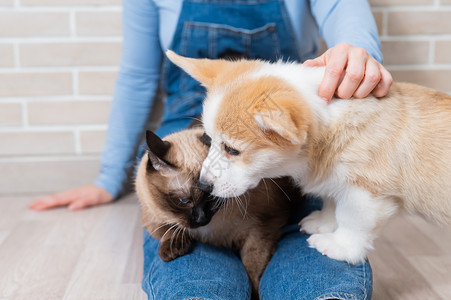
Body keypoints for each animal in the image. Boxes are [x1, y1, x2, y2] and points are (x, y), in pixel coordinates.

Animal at [136, 127, 302, 298]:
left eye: (213, 197)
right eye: (184, 201)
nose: (201, 219)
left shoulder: (262, 229)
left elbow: (252, 269)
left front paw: (254, 294)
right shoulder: (152, 220)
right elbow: (170, 230)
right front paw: (172, 251)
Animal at [166, 50, 451, 264]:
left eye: (232, 149)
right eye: (209, 139)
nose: (203, 185)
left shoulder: (366, 193)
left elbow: (352, 221)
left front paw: (339, 247)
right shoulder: (334, 178)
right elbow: (331, 202)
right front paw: (323, 223)